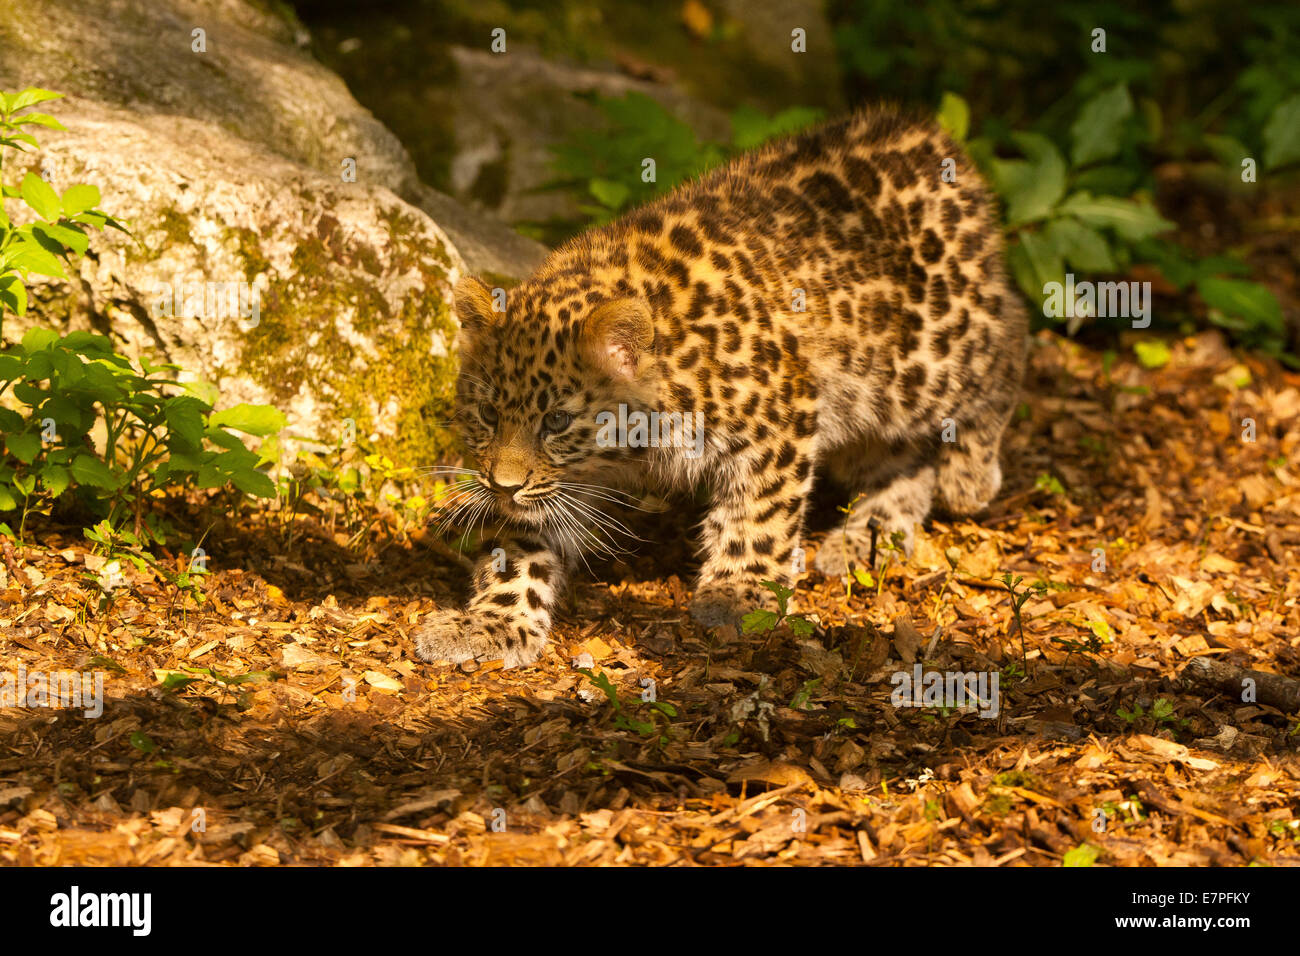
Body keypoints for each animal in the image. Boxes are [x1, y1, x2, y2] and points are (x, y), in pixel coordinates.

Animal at [413, 104, 1028, 669]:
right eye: (489, 414)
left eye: (557, 422)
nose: (502, 487)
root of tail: (923, 132)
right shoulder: (562, 489)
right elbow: (522, 550)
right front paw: (490, 625)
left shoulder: (783, 413)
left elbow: (759, 515)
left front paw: (738, 593)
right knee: (903, 457)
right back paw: (870, 533)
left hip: (920, 357)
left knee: (1009, 337)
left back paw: (969, 476)